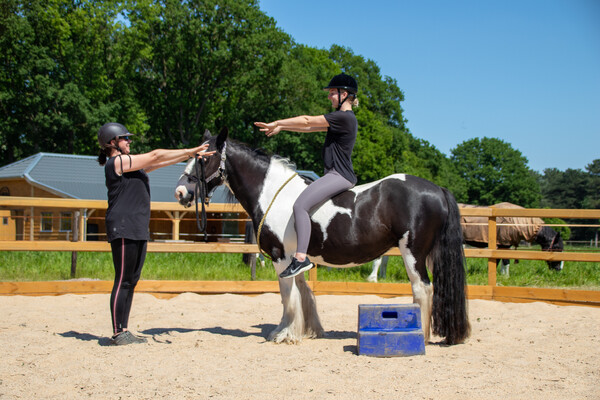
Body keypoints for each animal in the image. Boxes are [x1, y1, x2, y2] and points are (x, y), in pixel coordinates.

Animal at [176, 130, 472, 346]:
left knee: (422, 289)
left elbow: (288, 298)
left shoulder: (281, 259)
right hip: (429, 255)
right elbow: (304, 294)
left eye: (204, 158)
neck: (273, 194)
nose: (181, 192)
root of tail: (437, 189)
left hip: (413, 254)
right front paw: (309, 330)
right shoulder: (296, 261)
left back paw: (420, 336)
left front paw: (284, 334)